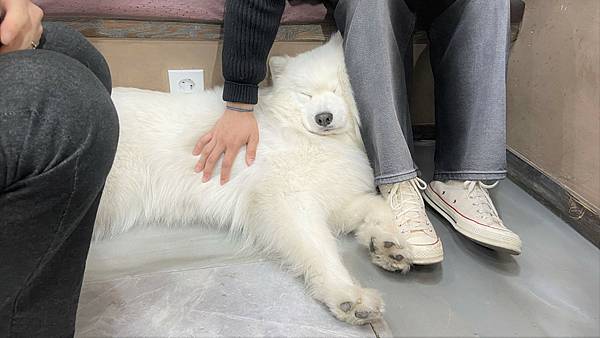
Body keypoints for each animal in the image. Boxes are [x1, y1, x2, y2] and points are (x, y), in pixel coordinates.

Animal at [95, 34, 412, 324]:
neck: (302, 135)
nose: (323, 117)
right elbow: (320, 248)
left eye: (336, 88)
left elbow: (377, 206)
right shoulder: (287, 201)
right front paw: (347, 295)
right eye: (305, 95)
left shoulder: (332, 198)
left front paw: (388, 244)